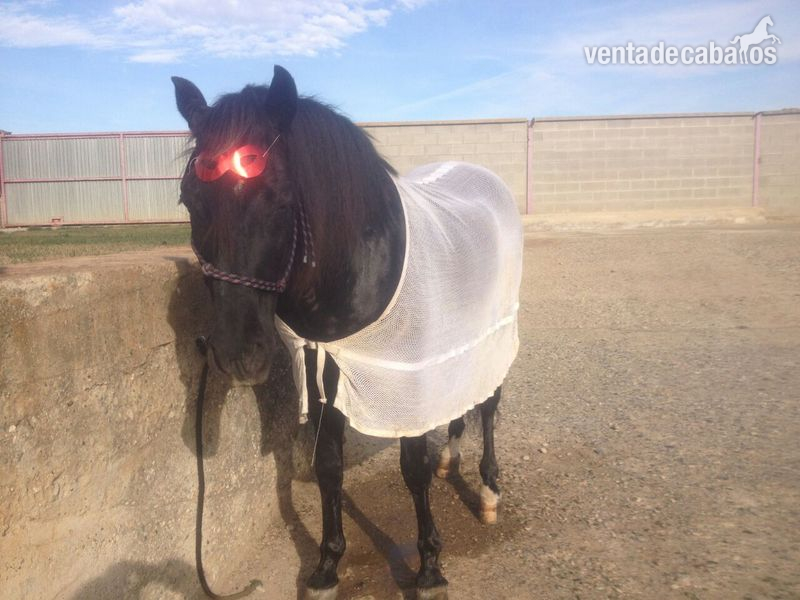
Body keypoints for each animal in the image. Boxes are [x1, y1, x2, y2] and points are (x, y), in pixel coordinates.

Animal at [172, 65, 523, 600]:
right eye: (190, 199)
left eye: (280, 200)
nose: (239, 356)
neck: (359, 266)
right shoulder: (324, 369)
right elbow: (328, 469)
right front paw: (325, 567)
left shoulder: (403, 380)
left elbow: (413, 472)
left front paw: (429, 569)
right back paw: (452, 461)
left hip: (492, 332)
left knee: (487, 402)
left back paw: (487, 491)